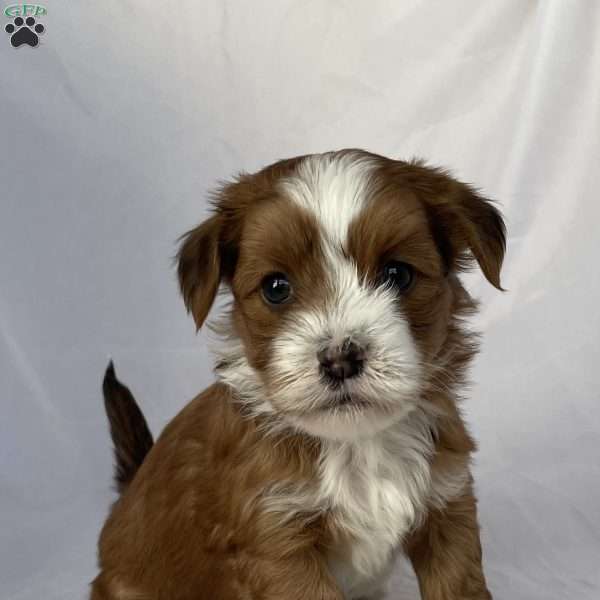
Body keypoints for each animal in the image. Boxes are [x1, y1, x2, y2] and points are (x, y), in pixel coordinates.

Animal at [92, 150, 506, 600]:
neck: (357, 444)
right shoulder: (276, 540)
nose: (340, 359)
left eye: (398, 274)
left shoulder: (448, 507)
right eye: (276, 288)